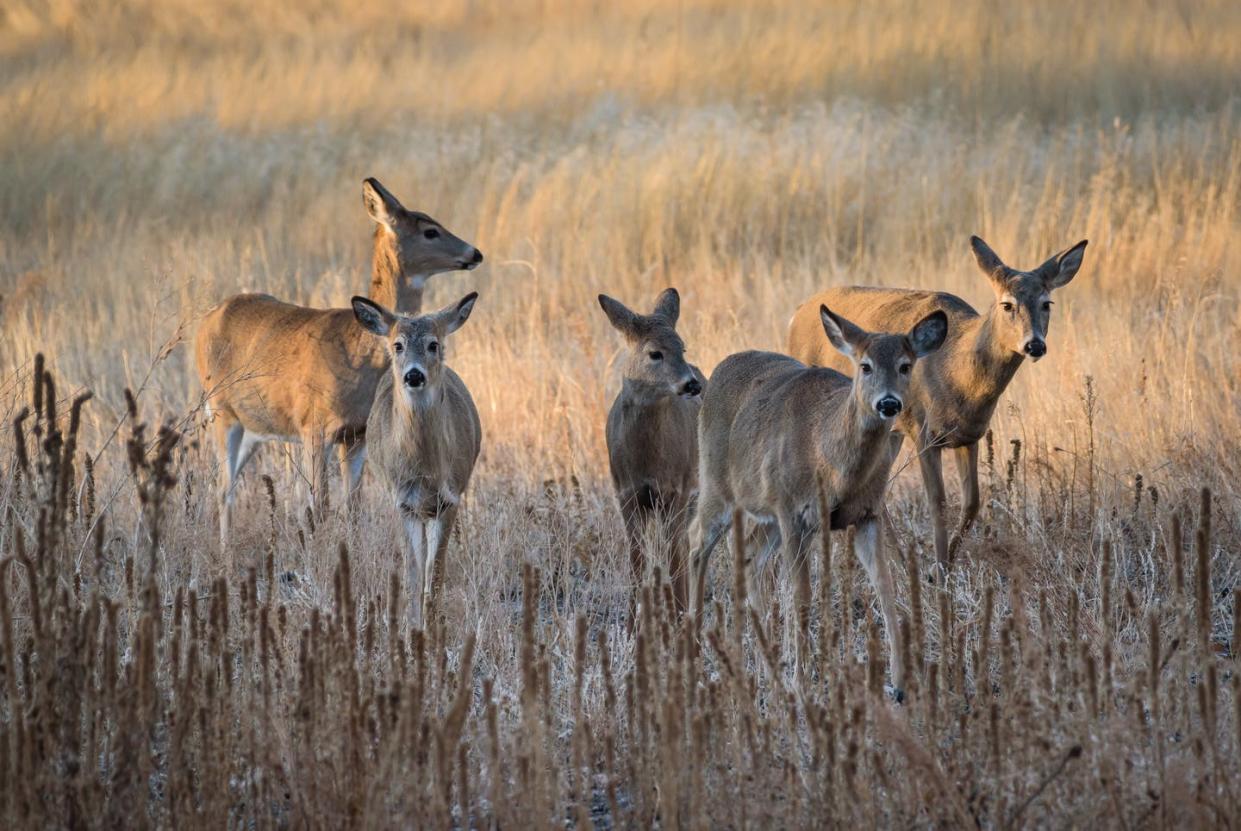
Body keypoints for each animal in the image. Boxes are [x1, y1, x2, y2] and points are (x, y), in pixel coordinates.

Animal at [196, 176, 481, 543]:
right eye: (430, 231)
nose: (474, 253)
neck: (360, 351)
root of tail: (205, 319)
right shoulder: (313, 425)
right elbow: (319, 507)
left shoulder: (355, 434)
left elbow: (353, 507)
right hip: (221, 411)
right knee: (223, 489)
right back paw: (226, 554)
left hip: (254, 427)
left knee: (227, 485)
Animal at [354, 291, 483, 625]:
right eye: (398, 345)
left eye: (433, 344)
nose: (414, 375)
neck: (425, 472)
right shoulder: (402, 502)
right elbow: (413, 574)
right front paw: (413, 627)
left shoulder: (449, 500)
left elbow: (434, 574)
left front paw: (432, 626)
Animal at [598, 290, 704, 622]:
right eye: (654, 353)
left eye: (682, 347)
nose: (691, 384)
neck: (646, 461)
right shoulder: (626, 493)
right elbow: (637, 561)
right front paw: (632, 625)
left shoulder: (677, 491)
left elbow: (672, 557)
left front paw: (680, 618)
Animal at [694, 302, 943, 699]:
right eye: (865, 365)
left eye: (906, 365)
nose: (889, 403)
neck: (830, 459)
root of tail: (719, 369)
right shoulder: (794, 512)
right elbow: (802, 594)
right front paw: (802, 682)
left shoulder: (866, 515)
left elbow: (886, 589)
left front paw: (900, 683)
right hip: (718, 485)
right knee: (696, 548)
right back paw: (694, 651)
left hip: (770, 514)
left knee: (750, 556)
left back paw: (767, 668)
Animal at [784, 238, 1087, 570]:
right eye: (1007, 304)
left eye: (1047, 303)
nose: (1035, 345)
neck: (958, 374)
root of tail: (797, 313)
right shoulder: (924, 431)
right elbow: (938, 502)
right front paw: (939, 570)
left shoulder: (970, 435)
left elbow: (972, 503)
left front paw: (948, 563)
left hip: (889, 430)